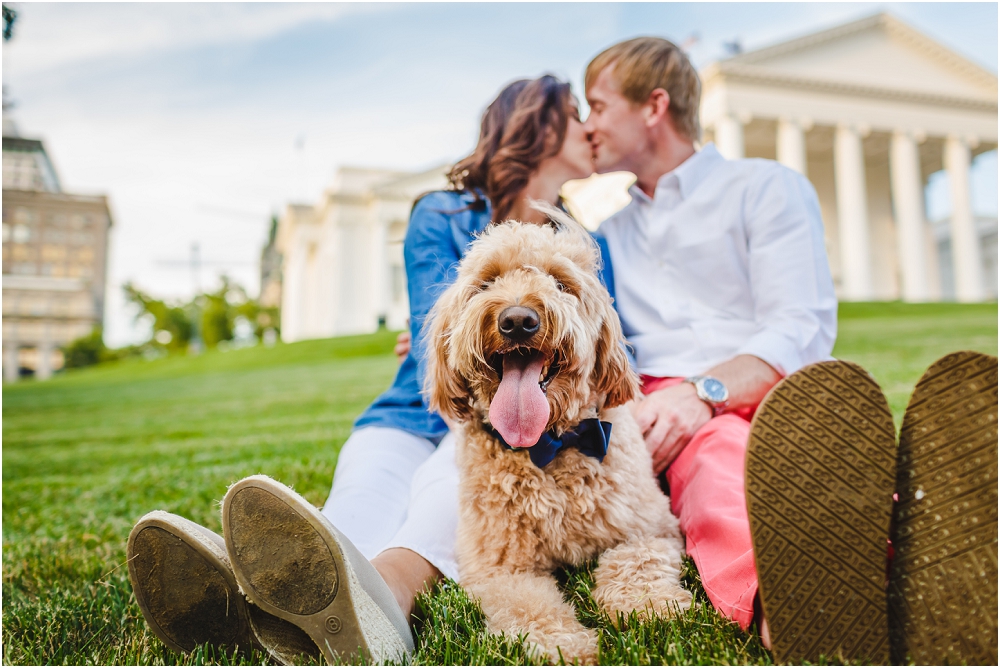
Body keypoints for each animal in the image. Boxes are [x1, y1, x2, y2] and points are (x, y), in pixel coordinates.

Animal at [420, 214, 688, 664]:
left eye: (561, 284)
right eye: (487, 282)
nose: (517, 320)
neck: (549, 447)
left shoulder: (651, 529)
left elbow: (637, 561)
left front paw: (649, 604)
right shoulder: (500, 567)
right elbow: (527, 603)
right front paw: (560, 644)